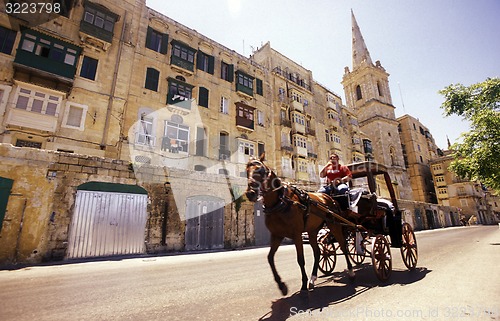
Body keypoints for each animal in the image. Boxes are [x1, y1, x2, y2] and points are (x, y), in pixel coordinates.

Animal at [244, 154, 354, 294]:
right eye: (246, 170)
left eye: (261, 171)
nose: (250, 193)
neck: (280, 202)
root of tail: (331, 198)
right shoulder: (276, 235)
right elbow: (270, 258)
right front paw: (282, 285)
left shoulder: (296, 235)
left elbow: (300, 259)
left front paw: (303, 285)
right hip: (312, 231)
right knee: (318, 252)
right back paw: (313, 278)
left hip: (334, 225)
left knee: (343, 246)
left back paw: (350, 271)